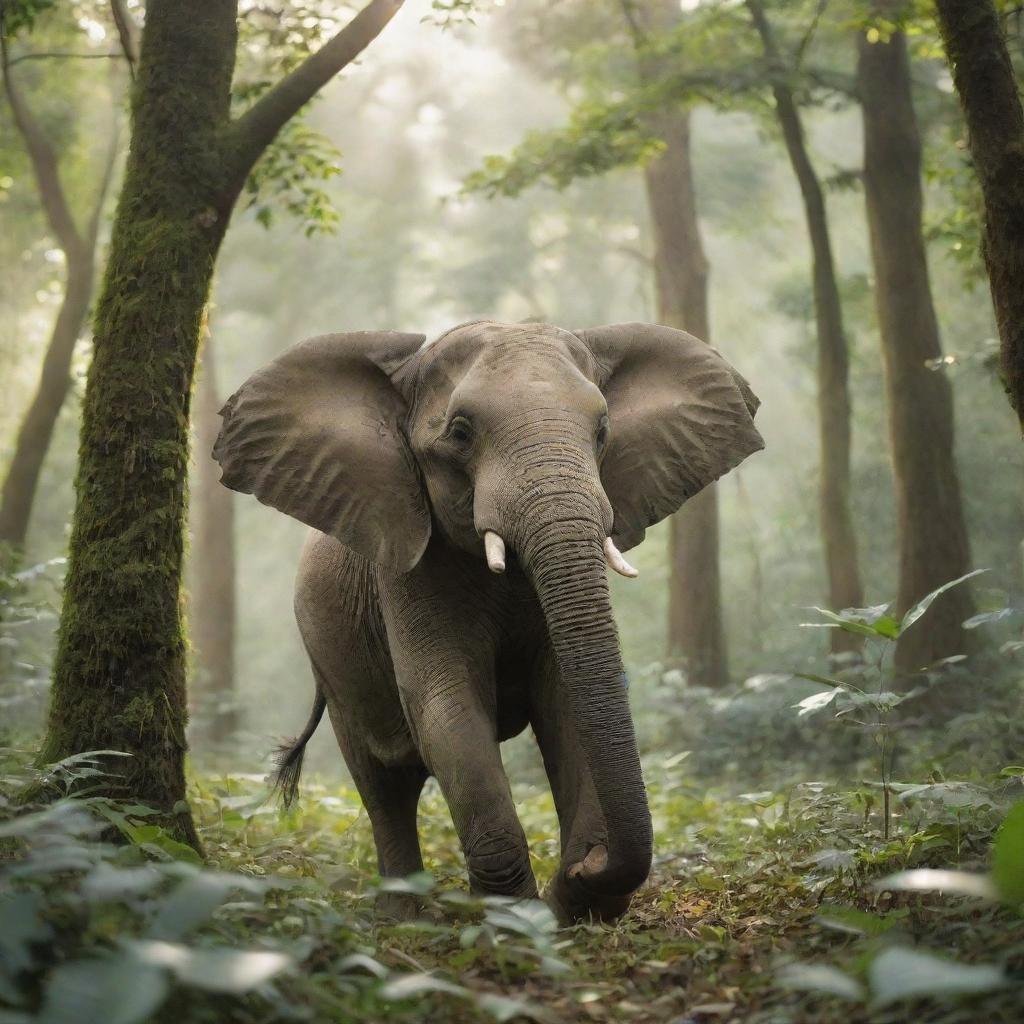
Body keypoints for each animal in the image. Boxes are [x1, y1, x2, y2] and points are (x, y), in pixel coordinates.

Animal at [214, 319, 761, 921]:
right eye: (460, 431)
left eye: (602, 431)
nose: (588, 866)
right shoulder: (408, 570)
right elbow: (444, 704)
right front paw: (517, 920)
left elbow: (566, 704)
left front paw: (571, 904)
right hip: (329, 656)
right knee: (383, 783)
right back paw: (405, 918)